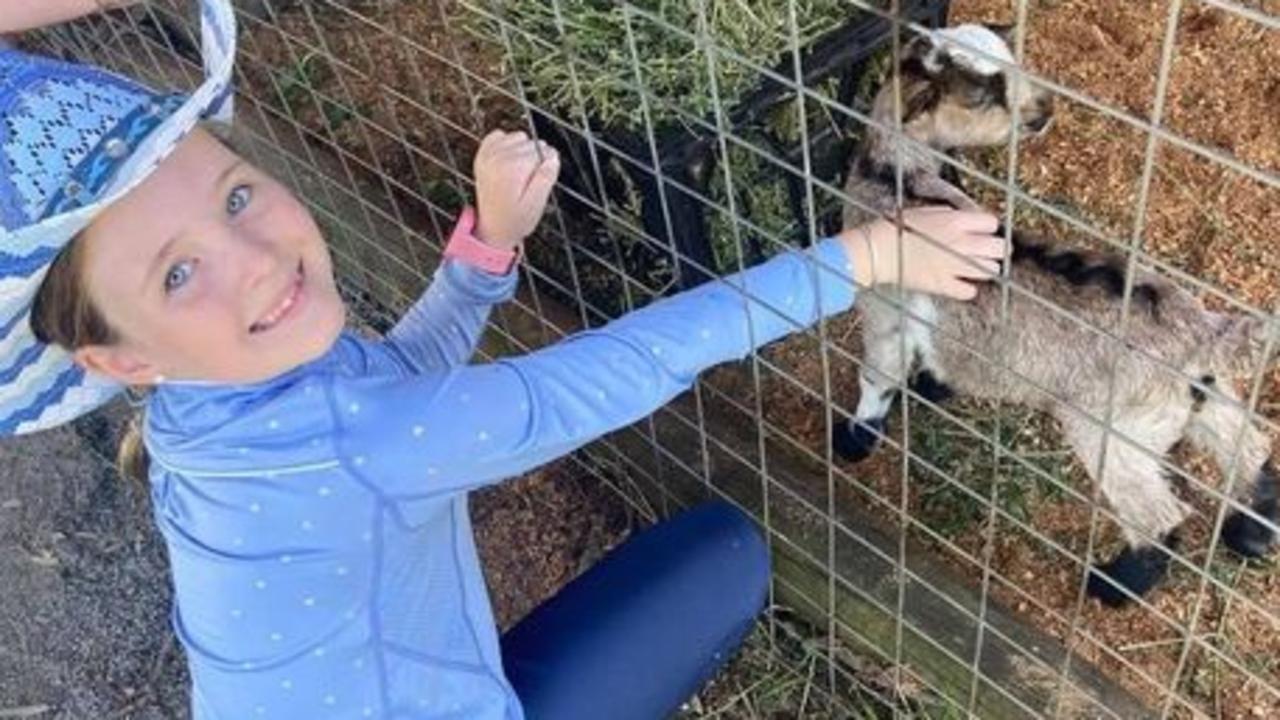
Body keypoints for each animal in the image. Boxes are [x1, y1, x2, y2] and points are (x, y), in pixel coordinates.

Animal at [834, 25, 1274, 602]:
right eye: (985, 95)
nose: (1044, 110)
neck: (894, 175)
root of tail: (1201, 332)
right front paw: (933, 387)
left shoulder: (884, 309)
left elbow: (878, 377)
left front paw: (853, 441)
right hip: (1203, 394)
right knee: (1248, 444)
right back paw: (1253, 532)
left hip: (1111, 427)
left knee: (1160, 516)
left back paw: (1114, 586)